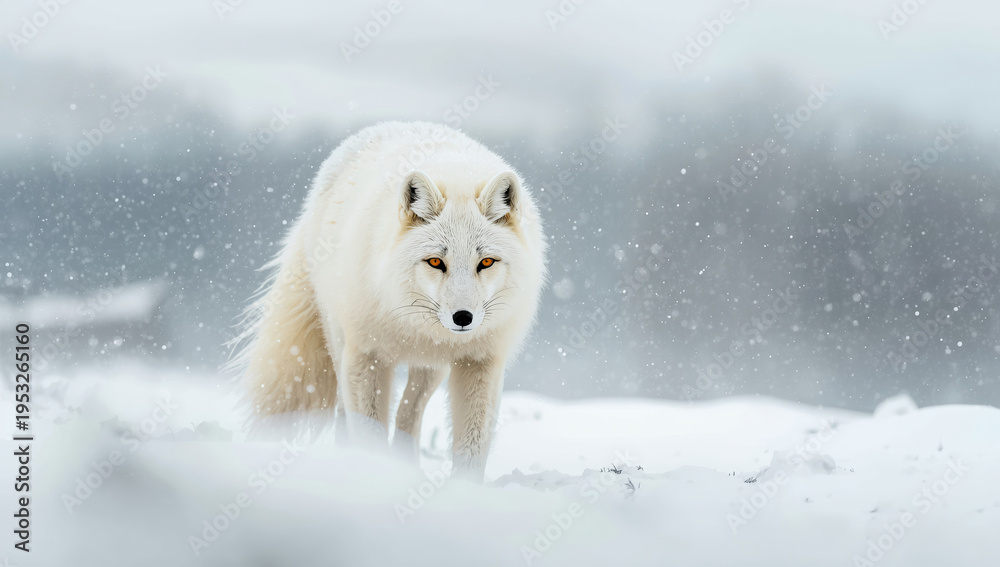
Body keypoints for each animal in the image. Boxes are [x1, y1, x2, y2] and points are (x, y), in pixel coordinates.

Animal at [231, 121, 547, 481]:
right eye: (436, 262)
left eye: (486, 262)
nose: (463, 317)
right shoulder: (367, 355)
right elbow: (368, 432)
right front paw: (376, 476)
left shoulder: (481, 362)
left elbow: (471, 448)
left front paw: (462, 490)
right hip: (339, 343)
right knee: (346, 411)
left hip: (432, 369)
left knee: (410, 411)